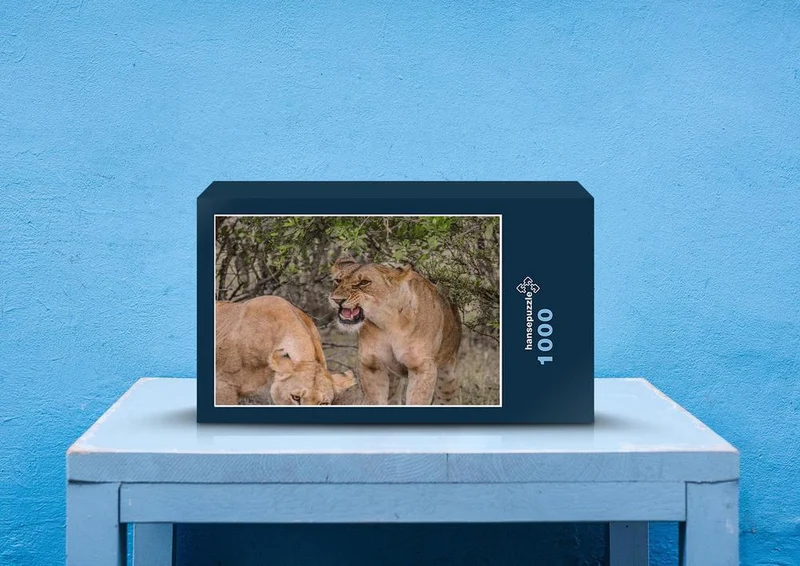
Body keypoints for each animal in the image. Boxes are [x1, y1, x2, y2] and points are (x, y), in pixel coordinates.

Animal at [329, 257, 462, 405]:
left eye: (364, 282)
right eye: (338, 280)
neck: (388, 323)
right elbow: (375, 400)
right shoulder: (371, 364)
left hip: (448, 376)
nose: (336, 300)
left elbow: (417, 400)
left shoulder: (422, 367)